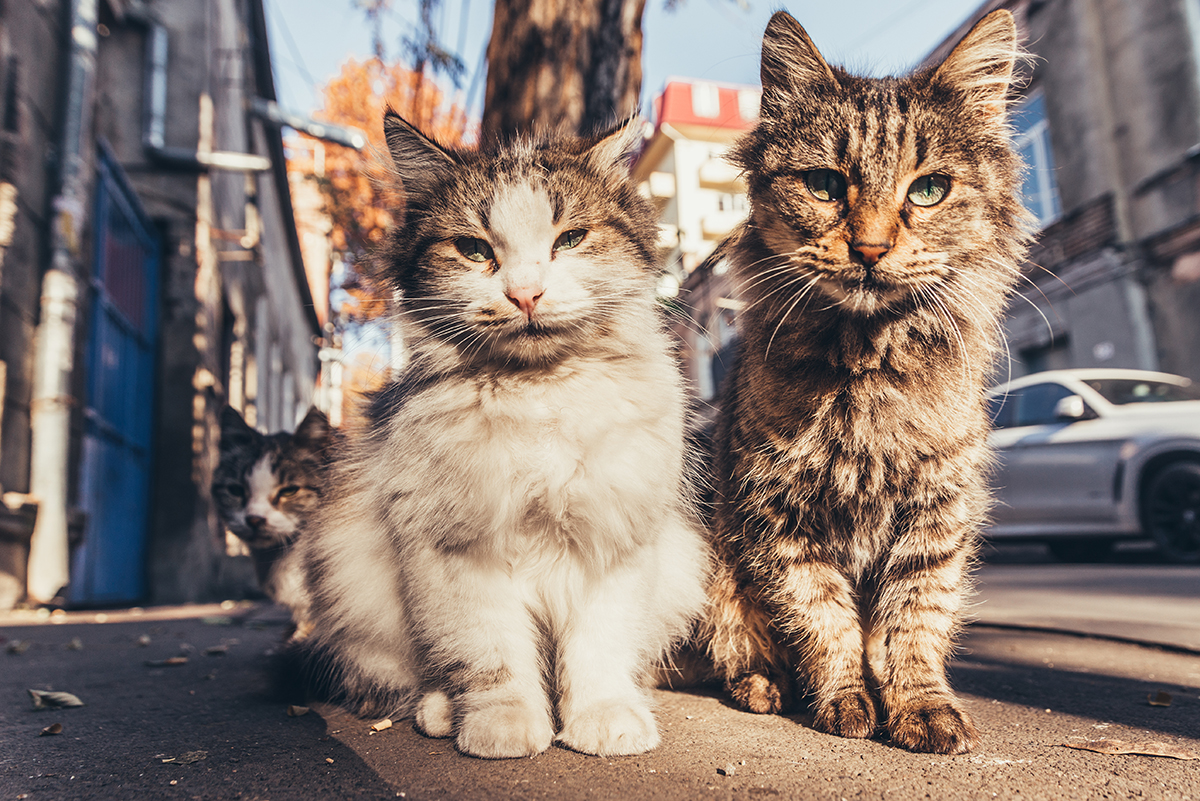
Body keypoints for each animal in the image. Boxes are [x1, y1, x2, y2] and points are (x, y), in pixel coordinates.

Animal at [296, 112, 710, 757]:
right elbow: (491, 656)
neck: (536, 393)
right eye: (474, 250)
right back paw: (442, 711)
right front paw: (503, 727)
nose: (525, 294)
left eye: (570, 239)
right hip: (354, 578)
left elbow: (599, 649)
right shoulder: (456, 546)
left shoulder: (613, 540)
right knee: (424, 672)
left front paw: (605, 719)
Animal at [700, 9, 1032, 753]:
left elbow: (912, 627)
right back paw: (764, 686)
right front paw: (845, 702)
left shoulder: (935, 515)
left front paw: (921, 708)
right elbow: (827, 624)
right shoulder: (780, 517)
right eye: (825, 185)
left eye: (929, 190)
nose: (872, 248)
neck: (868, 365)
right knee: (735, 648)